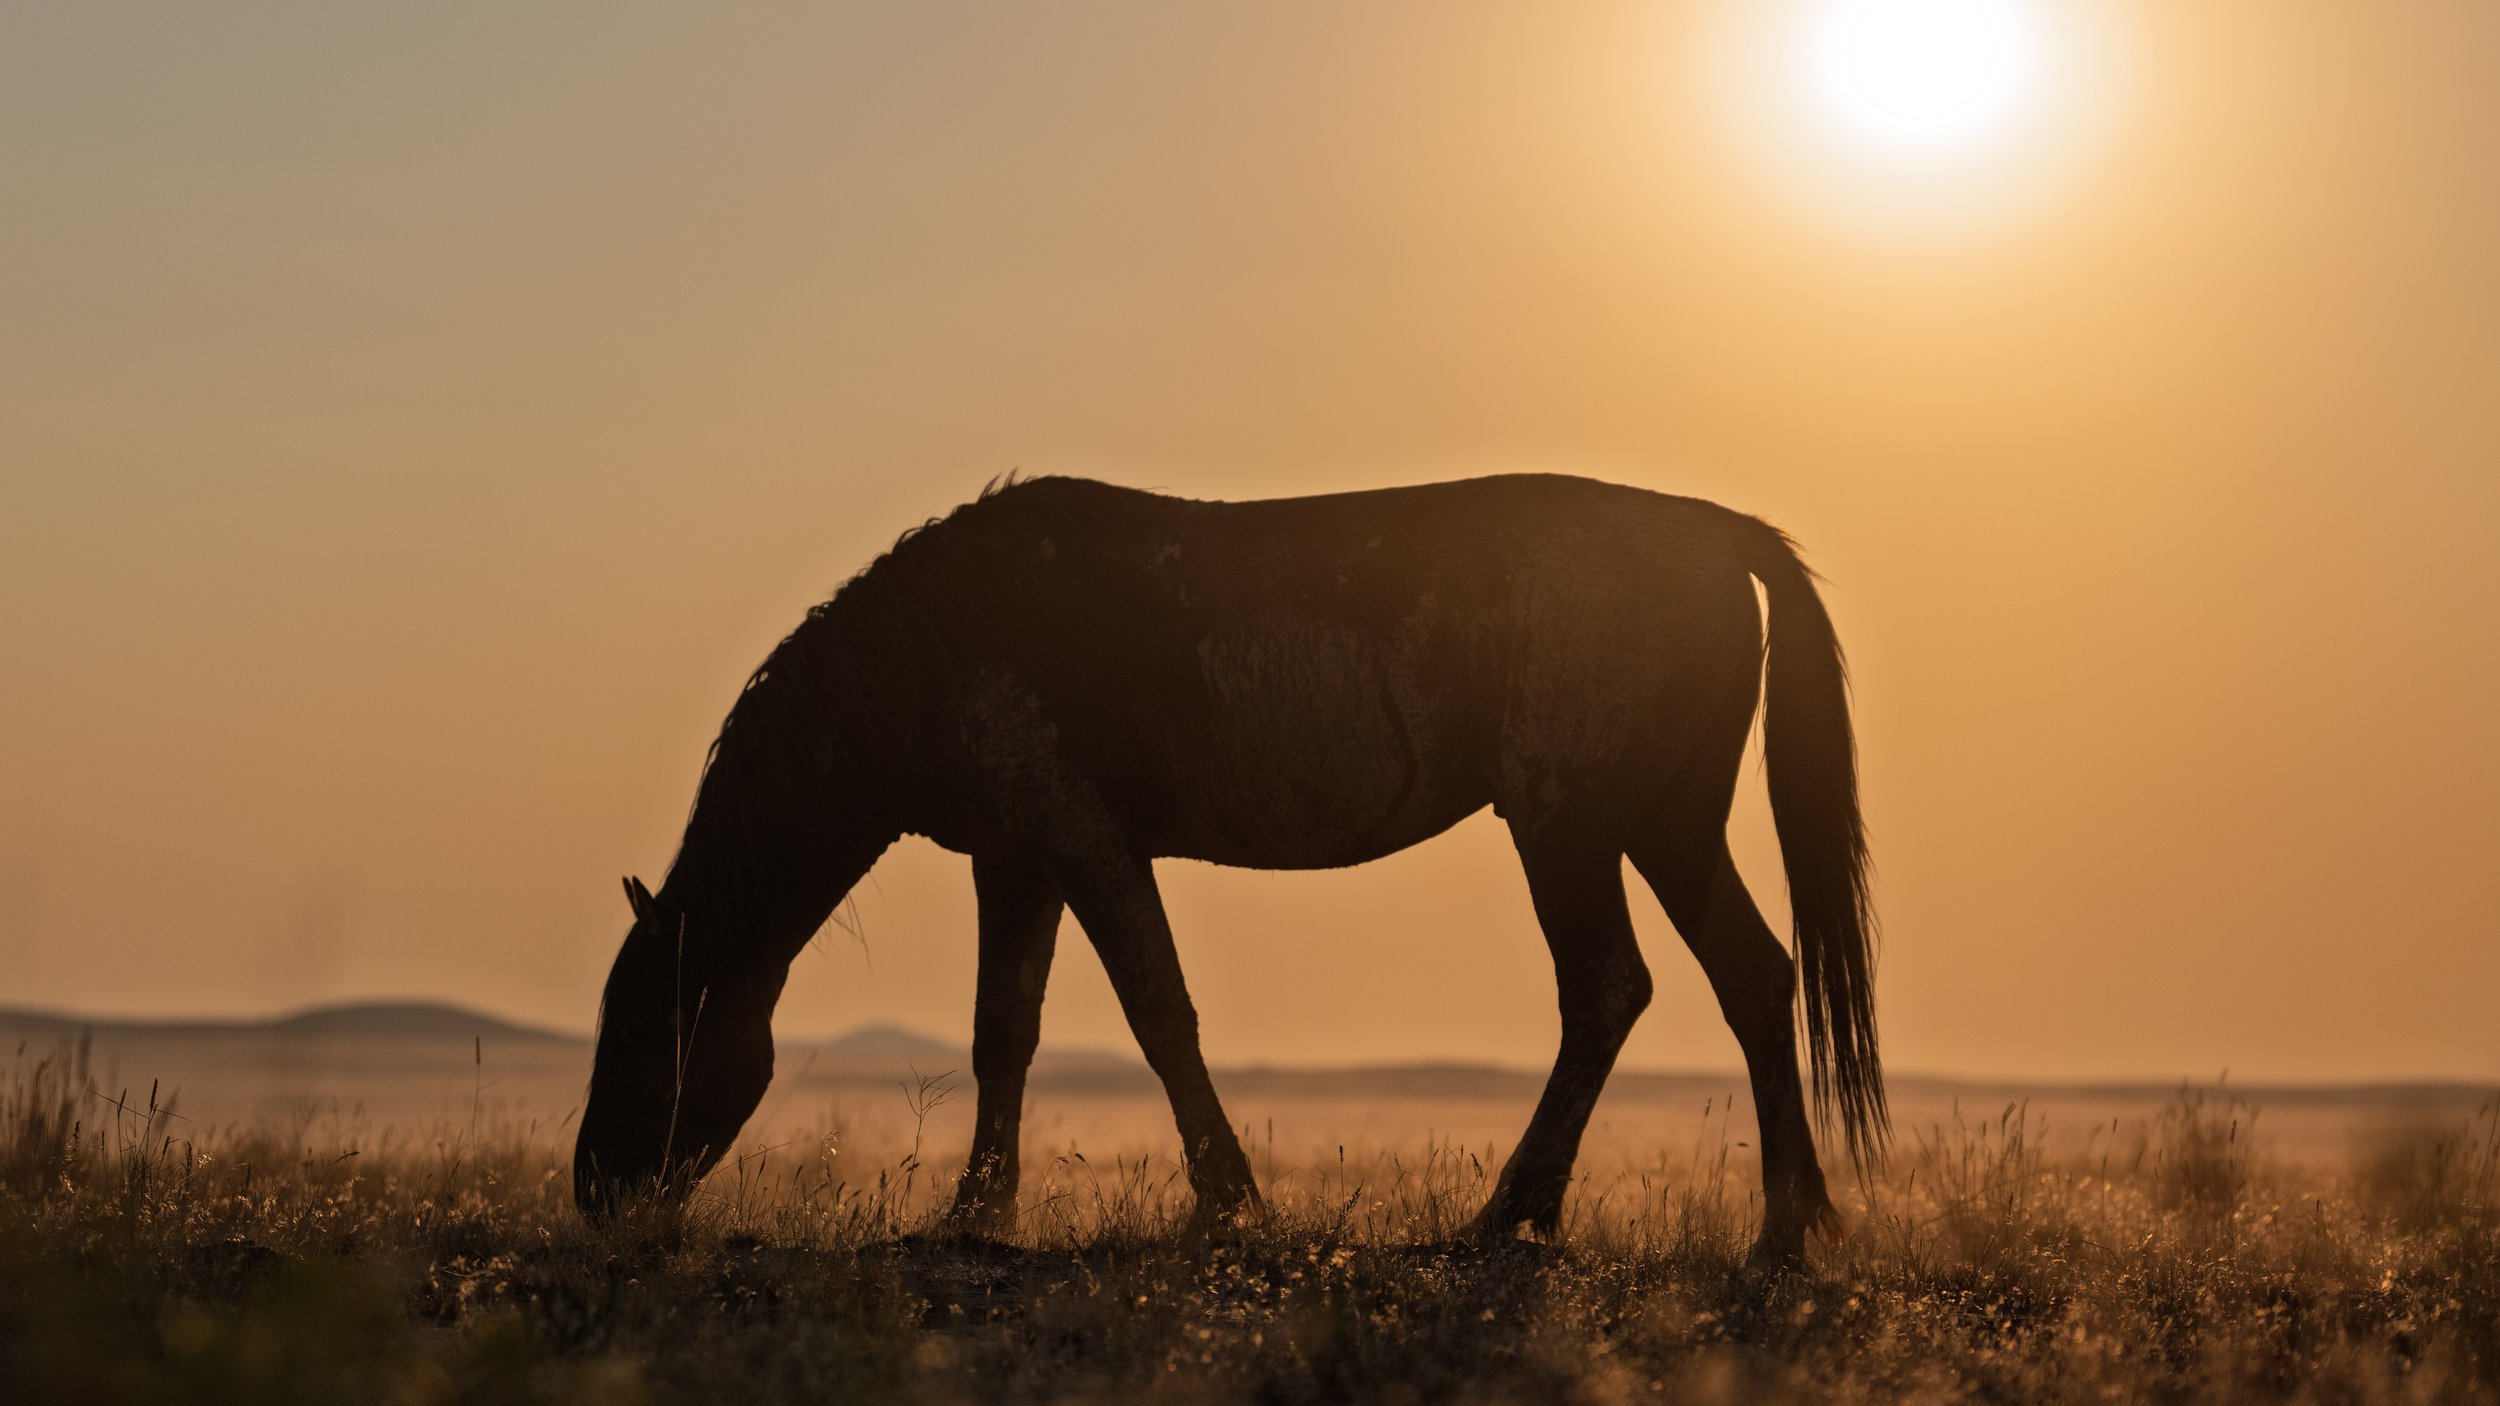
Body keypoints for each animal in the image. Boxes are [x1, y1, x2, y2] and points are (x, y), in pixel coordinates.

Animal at [573, 473, 1884, 1266]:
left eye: (644, 1029)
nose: (592, 1194)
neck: (927, 651)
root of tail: (1715, 529)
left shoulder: (1089, 844)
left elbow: (1159, 1014)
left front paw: (1227, 1202)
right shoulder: (1017, 860)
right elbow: (1004, 1032)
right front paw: (977, 1211)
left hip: (1568, 826)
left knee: (1608, 990)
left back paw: (1509, 1214)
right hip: (1666, 825)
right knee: (1755, 978)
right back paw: (1786, 1226)